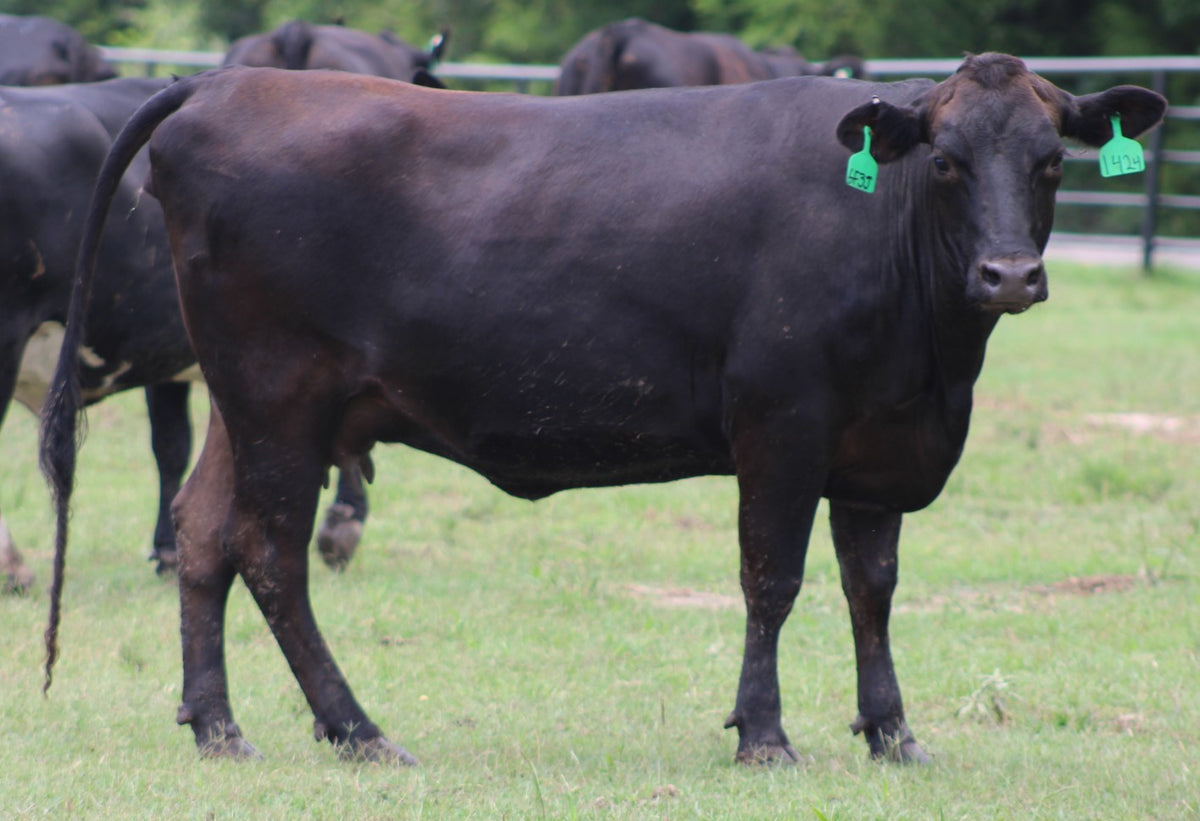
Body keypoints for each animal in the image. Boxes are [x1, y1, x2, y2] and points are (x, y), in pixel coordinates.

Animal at [42, 55, 1164, 766]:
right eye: (944, 160)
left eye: (1051, 161)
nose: (1009, 275)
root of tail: (226, 81)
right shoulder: (782, 424)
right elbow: (773, 580)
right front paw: (765, 734)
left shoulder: (875, 441)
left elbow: (872, 589)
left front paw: (892, 733)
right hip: (282, 400)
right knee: (271, 553)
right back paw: (357, 730)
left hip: (242, 403)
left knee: (200, 534)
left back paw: (218, 726)